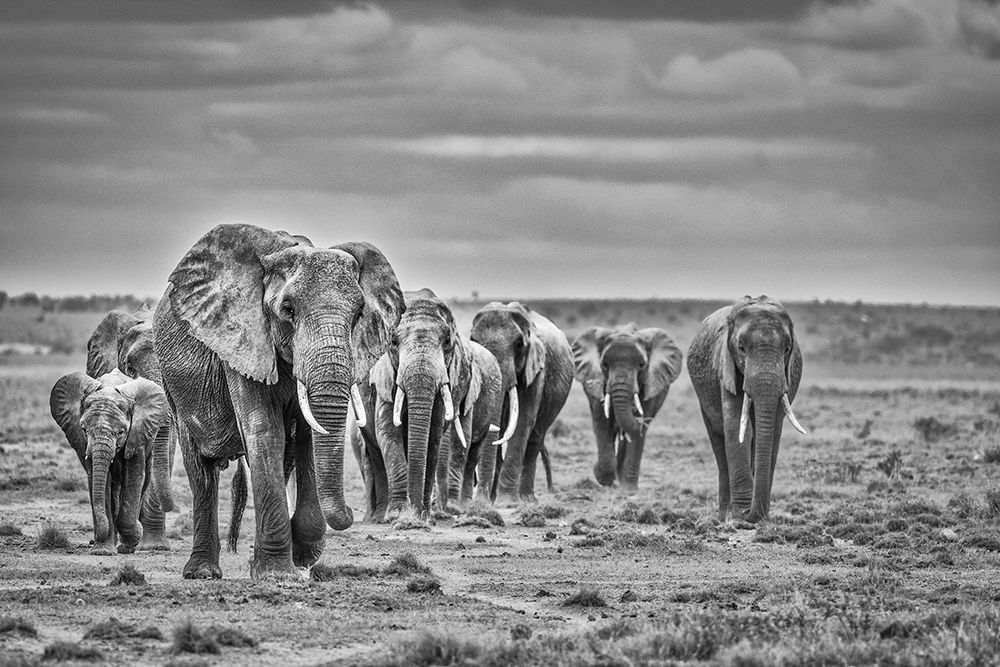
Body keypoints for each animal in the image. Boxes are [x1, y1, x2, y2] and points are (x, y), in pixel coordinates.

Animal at [49, 370, 172, 555]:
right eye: (84, 429)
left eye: (121, 432)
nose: (93, 541)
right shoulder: (84, 444)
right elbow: (99, 480)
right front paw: (102, 551)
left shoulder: (137, 435)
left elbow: (134, 478)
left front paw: (129, 542)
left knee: (142, 483)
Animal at [152, 224, 403, 579]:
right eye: (288, 309)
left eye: (358, 314)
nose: (355, 514)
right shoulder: (242, 340)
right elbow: (264, 430)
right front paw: (278, 574)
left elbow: (306, 436)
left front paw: (301, 558)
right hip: (175, 388)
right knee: (201, 471)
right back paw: (202, 572)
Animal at [470, 301, 573, 505]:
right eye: (473, 340)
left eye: (519, 344)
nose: (479, 501)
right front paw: (488, 503)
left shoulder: (536, 370)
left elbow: (523, 421)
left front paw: (506, 502)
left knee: (534, 438)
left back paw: (527, 499)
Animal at [572, 323, 683, 491]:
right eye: (605, 364)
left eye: (641, 365)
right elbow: (602, 422)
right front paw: (602, 477)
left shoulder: (650, 383)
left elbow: (637, 431)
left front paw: (628, 490)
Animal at [687, 295, 808, 523]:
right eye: (741, 348)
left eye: (787, 349)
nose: (750, 515)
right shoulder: (726, 368)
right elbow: (737, 426)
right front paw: (739, 516)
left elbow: (772, 432)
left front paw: (760, 516)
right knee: (719, 442)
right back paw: (723, 516)